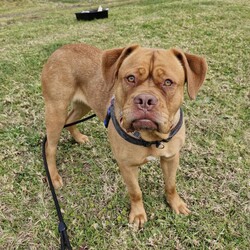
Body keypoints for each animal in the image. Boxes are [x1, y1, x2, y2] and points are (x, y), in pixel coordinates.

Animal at [41, 43, 207, 229]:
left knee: (70, 121)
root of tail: (61, 48)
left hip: (83, 105)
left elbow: (171, 184)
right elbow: (136, 192)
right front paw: (138, 214)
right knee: (50, 147)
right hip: (56, 110)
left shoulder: (171, 158)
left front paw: (175, 204)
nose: (145, 99)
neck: (150, 137)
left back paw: (78, 138)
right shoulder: (127, 166)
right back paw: (54, 177)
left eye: (168, 82)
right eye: (130, 78)